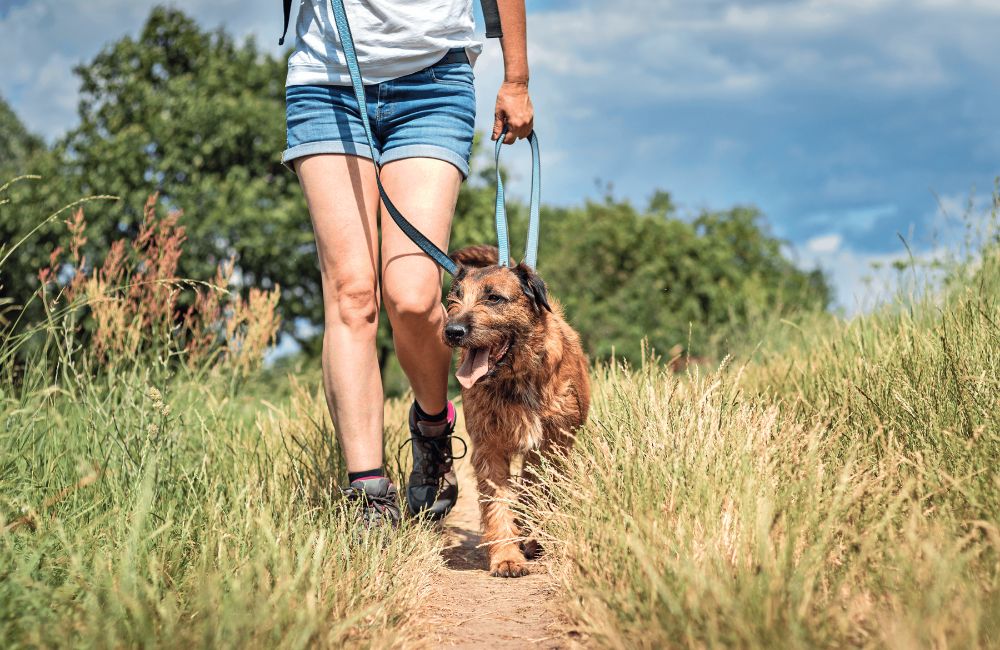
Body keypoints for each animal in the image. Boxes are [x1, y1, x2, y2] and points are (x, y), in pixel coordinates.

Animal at [444, 246, 588, 576]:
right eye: (454, 298)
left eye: (494, 298)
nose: (453, 331)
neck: (516, 377)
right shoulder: (489, 448)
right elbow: (498, 503)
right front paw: (507, 557)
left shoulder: (552, 445)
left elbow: (540, 492)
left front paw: (533, 539)